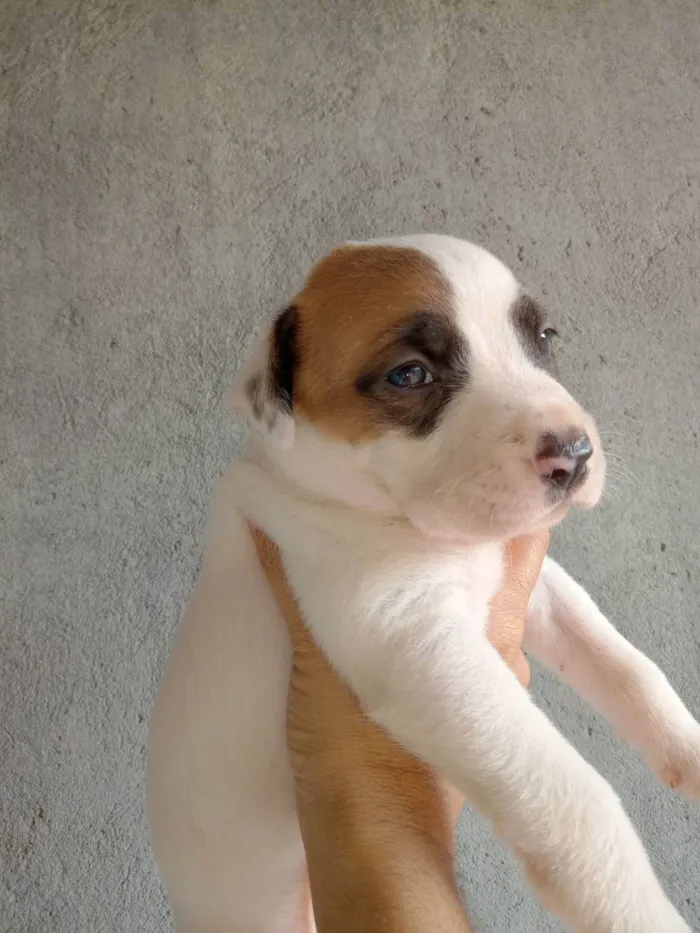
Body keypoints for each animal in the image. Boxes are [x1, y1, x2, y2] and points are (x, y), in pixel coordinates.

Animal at [145, 235, 696, 932]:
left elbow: (627, 666)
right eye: (409, 375)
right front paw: (632, 907)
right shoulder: (420, 646)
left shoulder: (532, 582)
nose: (575, 454)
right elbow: (573, 794)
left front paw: (689, 749)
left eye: (543, 337)